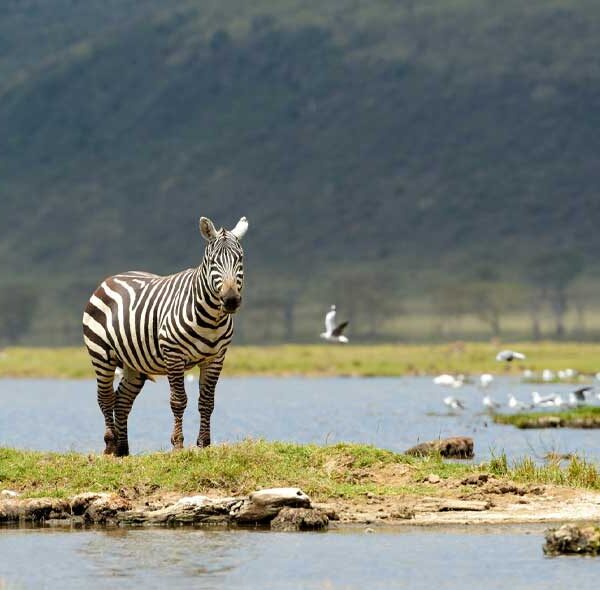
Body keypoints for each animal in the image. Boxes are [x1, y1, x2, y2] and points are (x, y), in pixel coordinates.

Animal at [82, 217, 248, 458]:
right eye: (212, 262)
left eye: (240, 259)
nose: (231, 300)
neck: (211, 319)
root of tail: (111, 278)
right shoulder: (174, 354)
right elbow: (179, 401)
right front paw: (178, 444)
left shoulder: (216, 358)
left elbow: (207, 402)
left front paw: (204, 444)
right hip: (101, 354)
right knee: (105, 396)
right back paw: (110, 445)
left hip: (135, 364)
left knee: (122, 400)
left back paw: (123, 450)